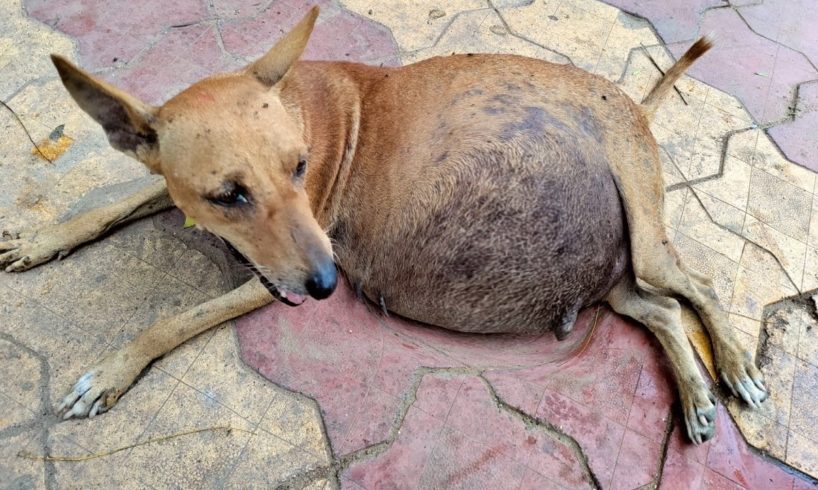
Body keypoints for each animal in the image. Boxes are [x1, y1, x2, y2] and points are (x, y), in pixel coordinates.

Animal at [1, 6, 764, 444]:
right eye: (227, 194)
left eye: (301, 166)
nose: (328, 283)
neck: (302, 109)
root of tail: (633, 100)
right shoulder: (178, 189)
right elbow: (108, 206)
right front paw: (42, 241)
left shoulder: (269, 278)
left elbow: (170, 320)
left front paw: (109, 374)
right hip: (617, 269)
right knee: (658, 309)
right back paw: (696, 395)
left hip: (645, 233)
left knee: (696, 285)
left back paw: (733, 367)